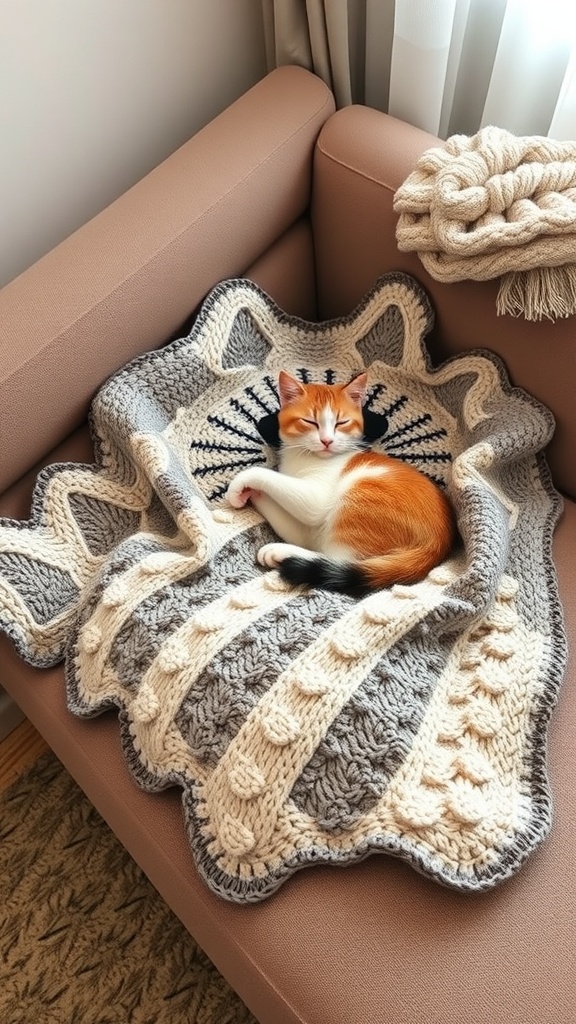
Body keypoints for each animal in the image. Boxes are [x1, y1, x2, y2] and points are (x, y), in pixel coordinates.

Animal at [224, 370, 453, 598]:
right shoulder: (304, 529)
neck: (303, 458)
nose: (327, 441)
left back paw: (282, 552)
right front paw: (250, 493)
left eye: (341, 423)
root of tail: (436, 546)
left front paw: (239, 484)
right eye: (310, 422)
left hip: (359, 496)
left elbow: (267, 476)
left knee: (338, 560)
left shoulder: (316, 498)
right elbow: (294, 528)